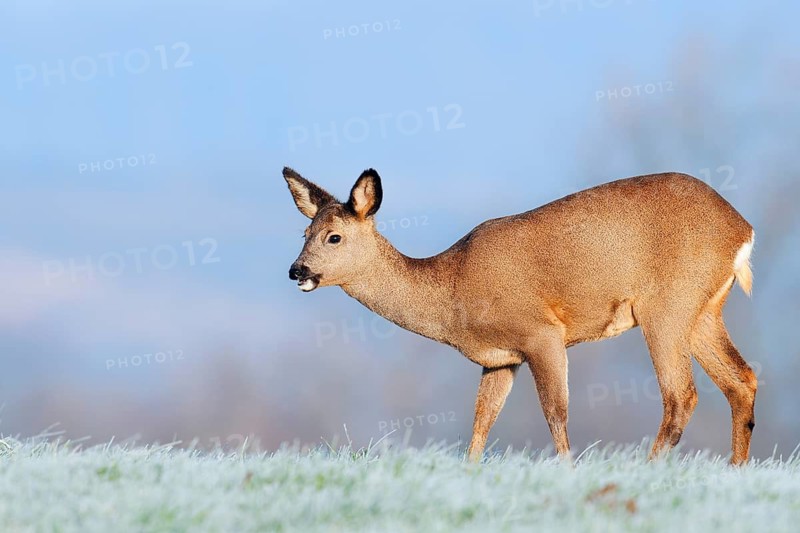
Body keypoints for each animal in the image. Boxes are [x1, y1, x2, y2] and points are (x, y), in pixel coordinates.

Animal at [283, 167, 757, 465]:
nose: (297, 270)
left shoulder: (541, 333)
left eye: (334, 236)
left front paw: (568, 473)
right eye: (304, 232)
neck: (453, 290)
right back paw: (735, 470)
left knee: (682, 395)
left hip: (667, 304)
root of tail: (743, 229)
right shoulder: (499, 359)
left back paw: (648, 469)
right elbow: (480, 424)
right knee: (742, 380)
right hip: (703, 310)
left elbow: (555, 412)